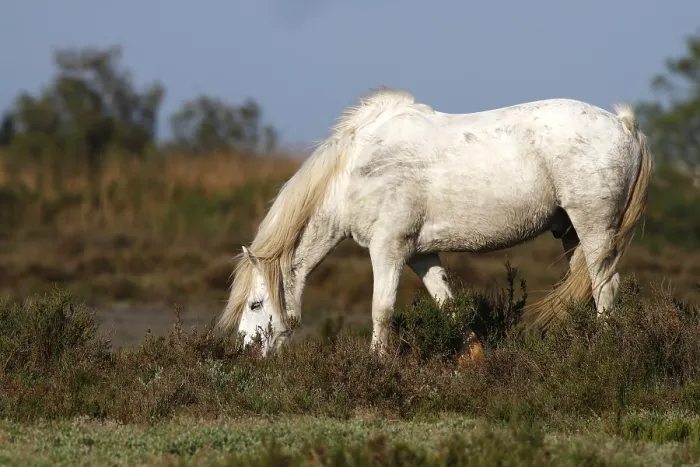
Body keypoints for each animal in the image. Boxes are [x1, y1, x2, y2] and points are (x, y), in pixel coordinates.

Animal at [218, 87, 653, 358]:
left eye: (255, 304)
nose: (245, 352)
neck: (354, 171)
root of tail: (625, 125)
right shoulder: (420, 255)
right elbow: (449, 306)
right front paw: (474, 361)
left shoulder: (388, 249)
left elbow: (381, 310)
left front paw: (377, 364)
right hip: (571, 233)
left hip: (595, 229)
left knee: (605, 288)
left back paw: (605, 348)